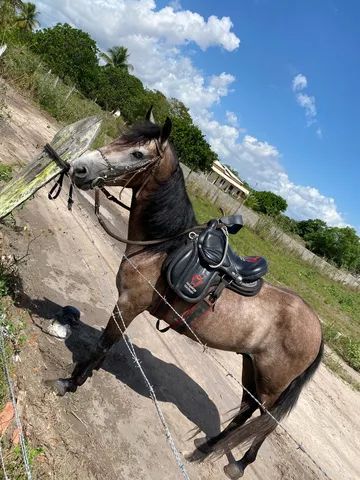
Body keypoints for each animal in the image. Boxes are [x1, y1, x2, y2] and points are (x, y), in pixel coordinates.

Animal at [50, 110, 324, 478]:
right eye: (122, 137)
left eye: (137, 153)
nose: (80, 168)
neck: (160, 248)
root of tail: (317, 330)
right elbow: (106, 348)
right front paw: (84, 375)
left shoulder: (128, 304)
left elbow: (102, 345)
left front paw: (70, 382)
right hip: (251, 367)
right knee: (245, 410)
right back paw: (207, 448)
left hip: (272, 385)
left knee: (266, 423)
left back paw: (239, 463)